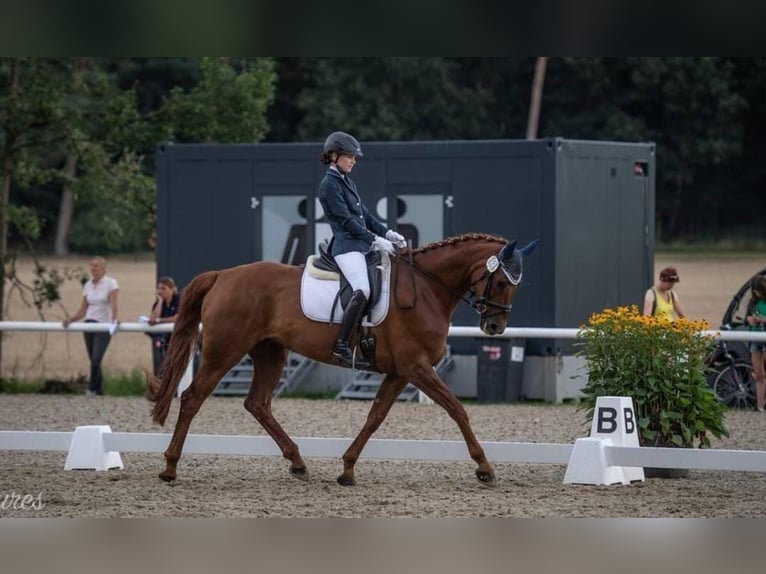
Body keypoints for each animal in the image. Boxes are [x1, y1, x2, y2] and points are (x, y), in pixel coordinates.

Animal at [148, 233, 536, 486]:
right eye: (503, 282)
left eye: (517, 284)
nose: (494, 327)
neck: (426, 288)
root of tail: (222, 275)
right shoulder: (417, 367)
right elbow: (457, 409)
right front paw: (484, 467)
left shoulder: (401, 372)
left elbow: (375, 416)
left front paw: (347, 469)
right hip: (224, 351)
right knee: (192, 398)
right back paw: (169, 467)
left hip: (270, 351)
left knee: (257, 403)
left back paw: (298, 462)